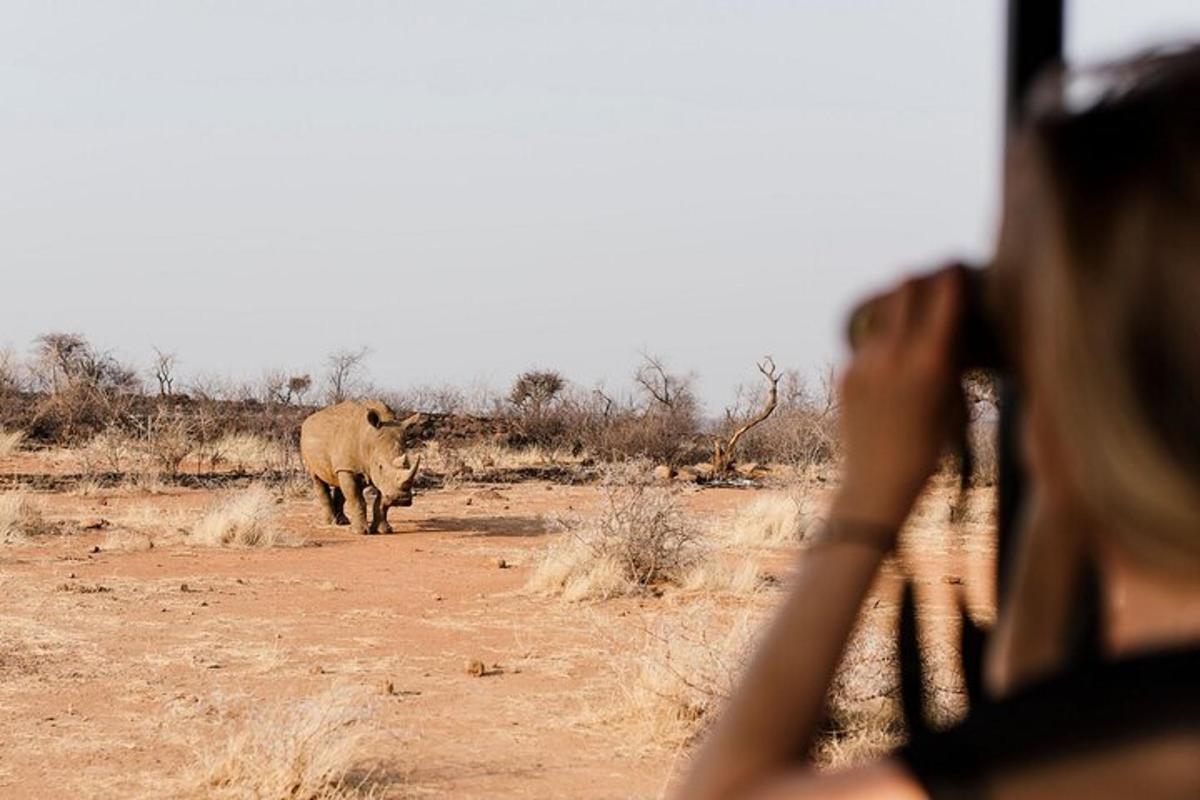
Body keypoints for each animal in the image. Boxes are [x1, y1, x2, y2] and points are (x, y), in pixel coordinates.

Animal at [300, 398, 422, 534]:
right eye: (380, 466)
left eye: (408, 464)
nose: (402, 499)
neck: (370, 440)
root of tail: (307, 421)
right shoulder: (356, 468)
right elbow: (356, 499)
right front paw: (360, 532)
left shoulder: (379, 477)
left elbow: (381, 501)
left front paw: (383, 531)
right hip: (307, 446)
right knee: (317, 479)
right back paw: (329, 523)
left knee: (339, 482)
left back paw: (342, 522)